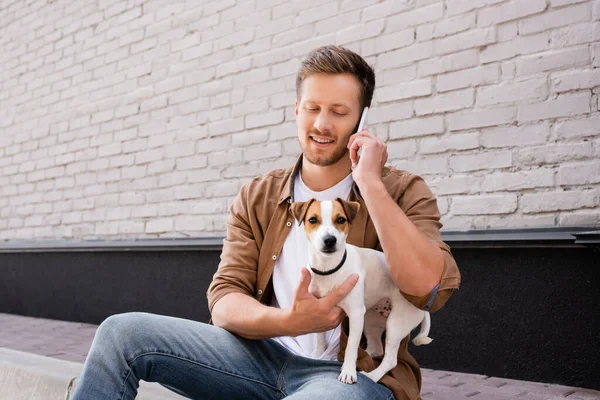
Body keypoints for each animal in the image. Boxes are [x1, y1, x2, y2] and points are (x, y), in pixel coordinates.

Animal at [290, 198, 432, 382]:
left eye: (341, 219)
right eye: (312, 220)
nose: (329, 240)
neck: (329, 268)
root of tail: (423, 303)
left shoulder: (355, 314)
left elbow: (351, 345)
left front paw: (348, 372)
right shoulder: (318, 309)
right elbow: (320, 336)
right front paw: (318, 354)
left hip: (395, 324)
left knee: (390, 360)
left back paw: (372, 376)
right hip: (370, 321)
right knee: (376, 348)